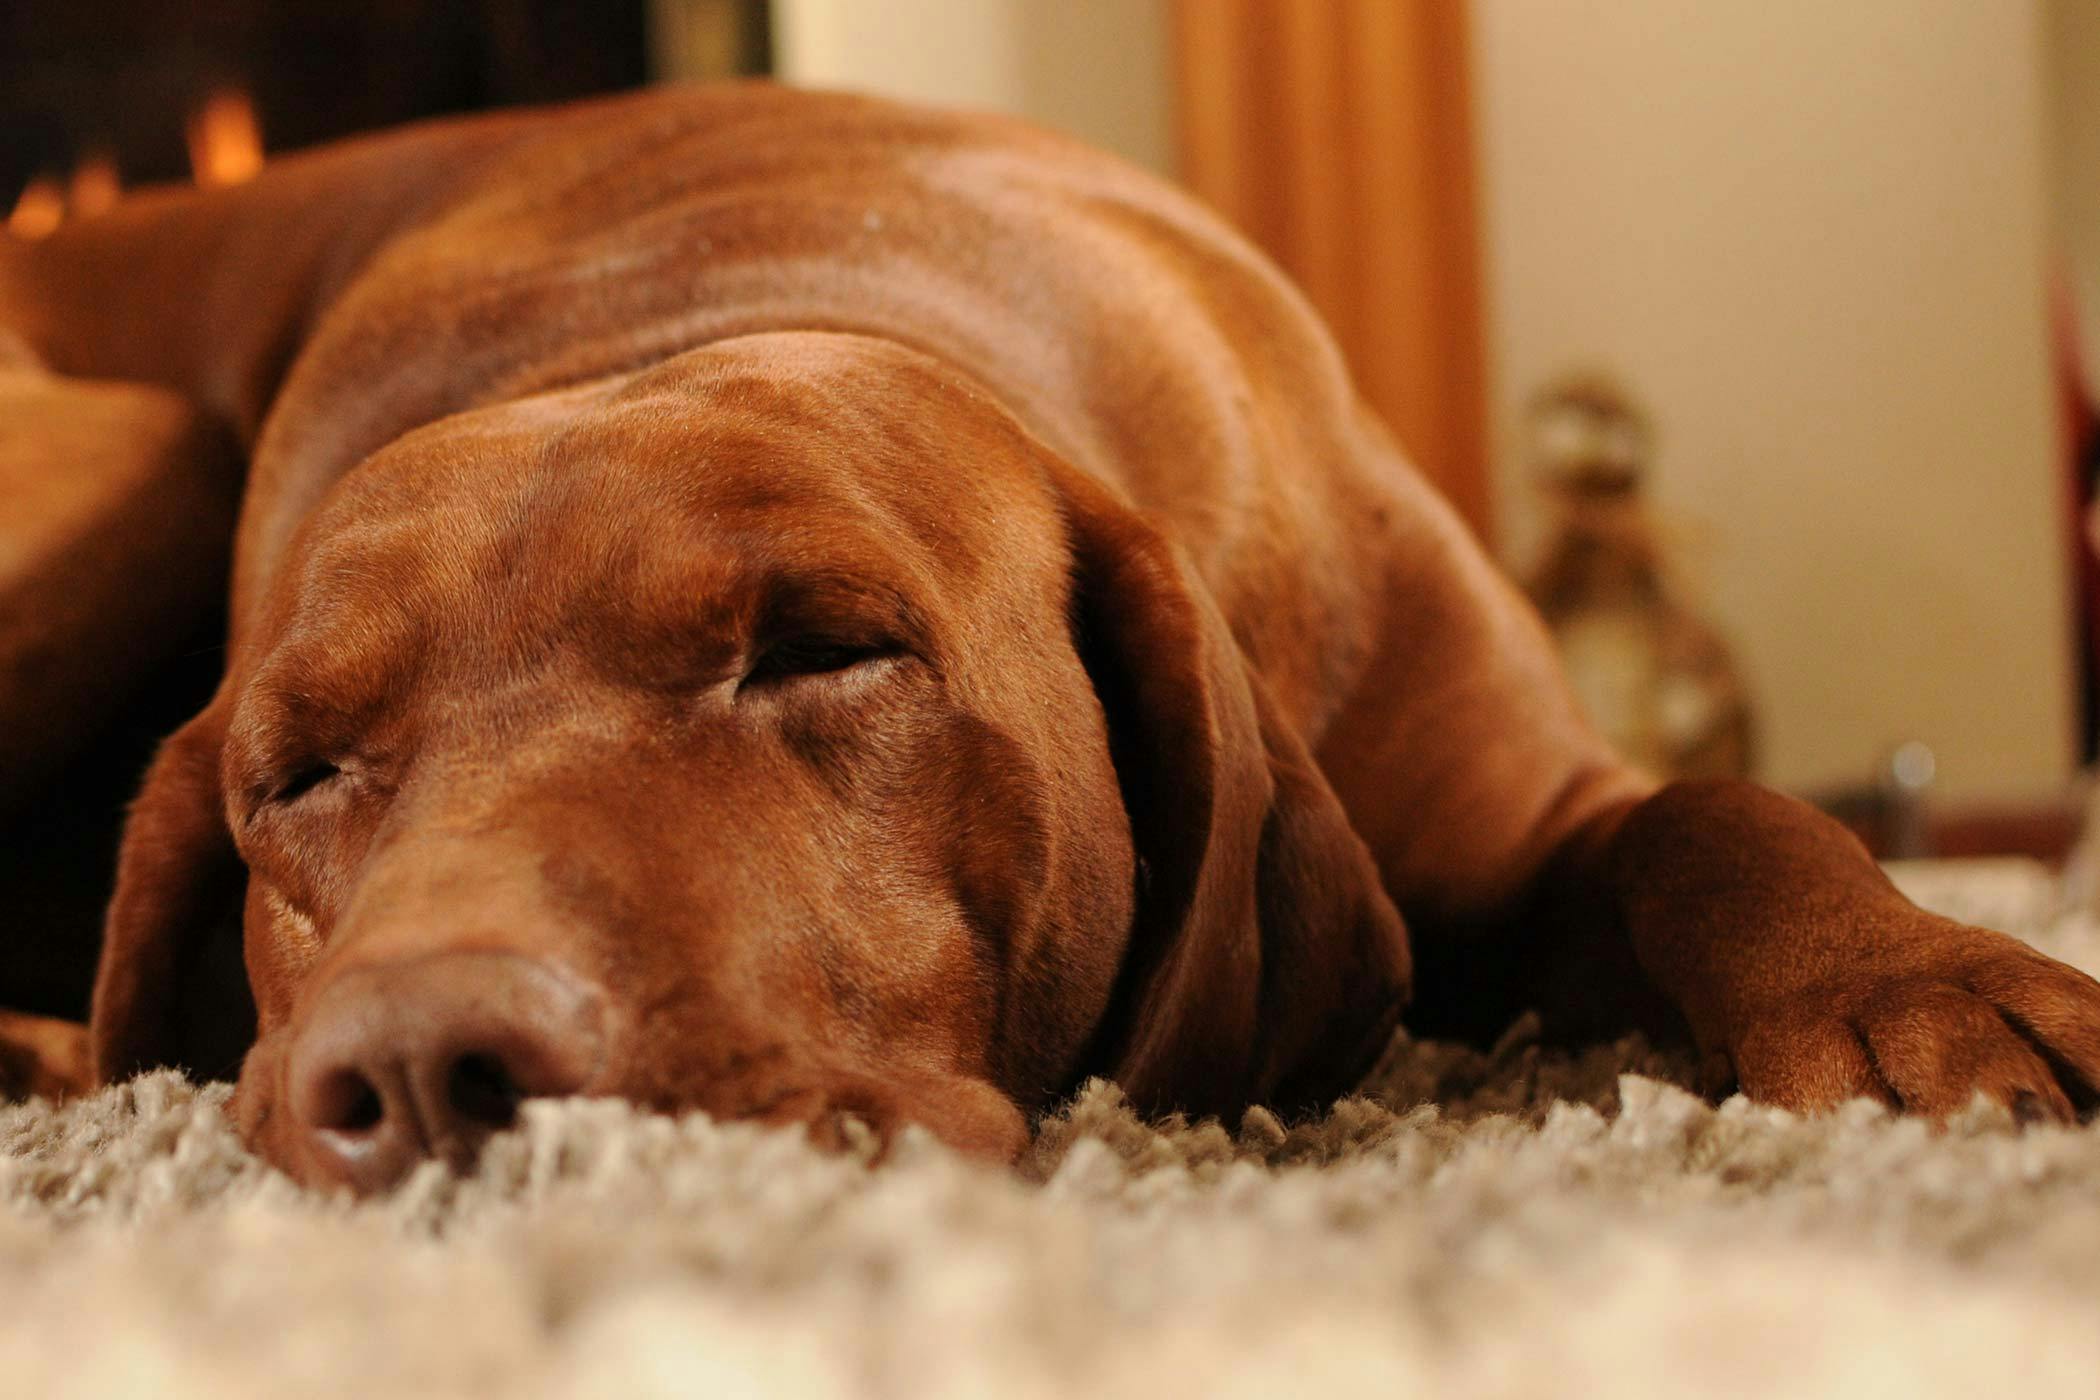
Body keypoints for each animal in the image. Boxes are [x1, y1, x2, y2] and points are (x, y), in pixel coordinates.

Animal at [4, 82, 2100, 1192]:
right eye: (302, 778)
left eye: (828, 649)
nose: (427, 1069)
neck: (686, 298)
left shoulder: (1523, 808)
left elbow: (1715, 814)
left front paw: (1924, 984)